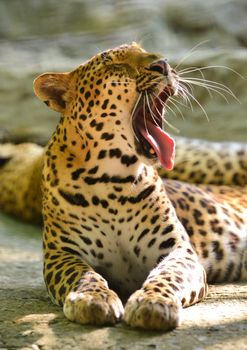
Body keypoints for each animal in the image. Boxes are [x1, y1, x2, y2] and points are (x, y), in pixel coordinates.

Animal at [0, 41, 246, 330]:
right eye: (114, 64)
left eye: (145, 50)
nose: (163, 64)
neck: (112, 178)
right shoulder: (61, 253)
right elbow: (82, 275)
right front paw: (92, 299)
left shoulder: (178, 251)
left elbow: (167, 276)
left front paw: (153, 303)